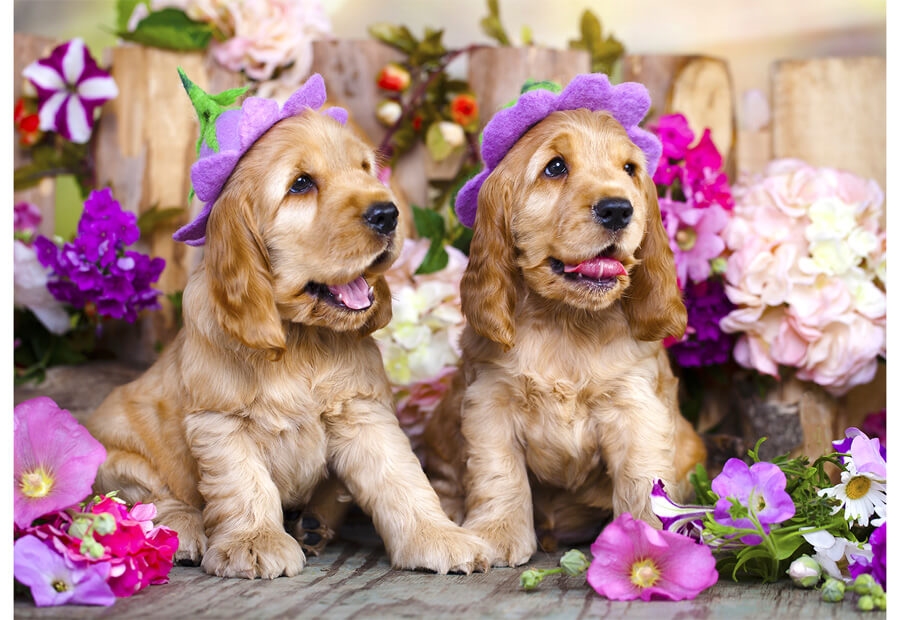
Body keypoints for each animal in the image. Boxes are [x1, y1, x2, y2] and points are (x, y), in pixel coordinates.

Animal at [88, 74, 488, 580]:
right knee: (156, 499)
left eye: (365, 169)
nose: (388, 213)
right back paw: (188, 531)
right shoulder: (220, 424)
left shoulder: (363, 411)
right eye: (300, 184)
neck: (301, 338)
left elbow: (401, 478)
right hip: (121, 458)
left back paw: (311, 525)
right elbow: (244, 485)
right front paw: (254, 543)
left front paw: (439, 537)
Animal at [426, 74, 708, 568]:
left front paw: (646, 539)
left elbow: (643, 482)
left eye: (629, 169)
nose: (618, 209)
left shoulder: (638, 407)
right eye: (555, 167)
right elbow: (499, 473)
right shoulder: (488, 403)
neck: (567, 322)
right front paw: (498, 534)